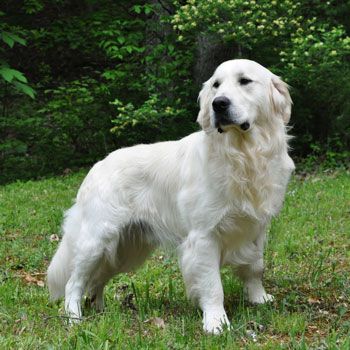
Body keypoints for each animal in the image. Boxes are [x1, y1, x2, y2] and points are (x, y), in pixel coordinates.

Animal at [47, 59, 296, 334]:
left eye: (245, 81)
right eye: (216, 85)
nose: (218, 103)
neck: (242, 155)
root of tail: (96, 167)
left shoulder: (256, 228)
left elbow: (255, 267)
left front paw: (258, 298)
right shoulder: (204, 236)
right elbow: (212, 285)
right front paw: (216, 323)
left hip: (126, 249)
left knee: (96, 280)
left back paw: (100, 310)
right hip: (96, 240)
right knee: (74, 282)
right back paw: (73, 317)